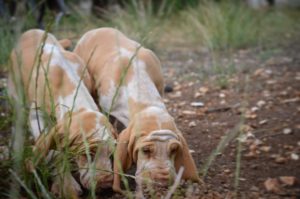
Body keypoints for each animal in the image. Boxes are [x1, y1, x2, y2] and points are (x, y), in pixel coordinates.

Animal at [8, 28, 116, 197]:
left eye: (111, 153)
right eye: (88, 154)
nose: (106, 187)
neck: (64, 76)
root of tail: (30, 31)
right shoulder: (36, 117)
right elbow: (53, 152)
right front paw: (66, 185)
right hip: (15, 93)